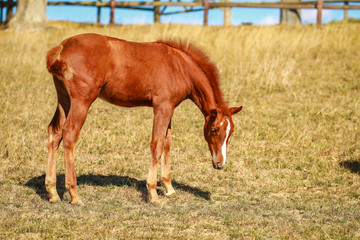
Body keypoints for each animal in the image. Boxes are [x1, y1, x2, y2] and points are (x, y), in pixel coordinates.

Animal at [45, 32, 242, 203]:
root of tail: (62, 47)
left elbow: (167, 143)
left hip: (64, 100)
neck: (179, 66)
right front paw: (153, 193)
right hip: (82, 101)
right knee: (69, 134)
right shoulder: (161, 107)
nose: (220, 164)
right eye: (214, 130)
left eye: (230, 133)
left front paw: (169, 187)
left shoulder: (169, 108)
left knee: (55, 132)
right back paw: (74, 194)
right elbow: (156, 145)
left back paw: (52, 192)